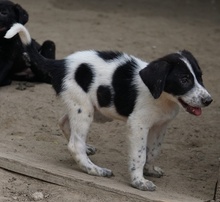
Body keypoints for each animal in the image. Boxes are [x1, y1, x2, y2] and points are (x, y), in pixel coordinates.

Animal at [4, 23, 212, 191]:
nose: (208, 100)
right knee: (74, 144)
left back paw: (87, 150)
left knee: (64, 122)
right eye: (184, 79)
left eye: (200, 76)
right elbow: (139, 155)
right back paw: (95, 169)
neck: (164, 98)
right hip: (84, 110)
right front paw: (139, 182)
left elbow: (153, 151)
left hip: (91, 109)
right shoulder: (138, 125)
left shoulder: (160, 126)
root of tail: (60, 64)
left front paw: (150, 170)